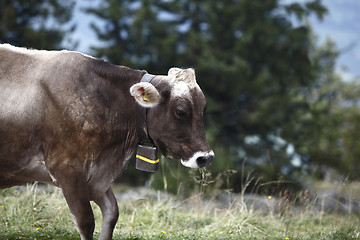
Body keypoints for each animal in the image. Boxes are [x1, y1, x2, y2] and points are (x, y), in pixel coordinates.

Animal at [0, 43, 214, 240]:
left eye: (203, 109)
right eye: (181, 111)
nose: (206, 157)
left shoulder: (97, 177)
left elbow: (112, 213)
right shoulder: (67, 168)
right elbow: (86, 222)